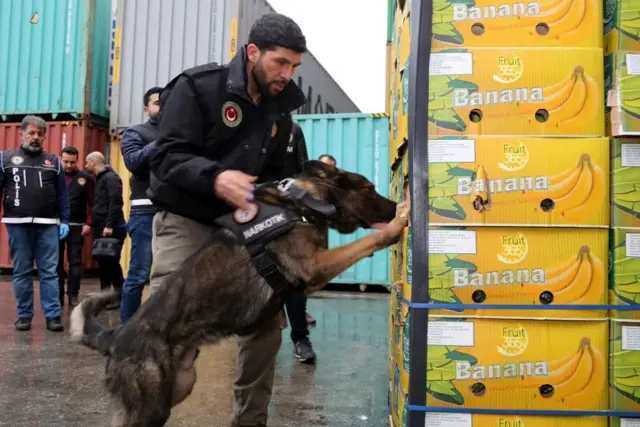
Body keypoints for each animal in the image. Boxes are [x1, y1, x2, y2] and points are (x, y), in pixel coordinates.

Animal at [70, 160, 410, 427]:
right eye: (368, 188)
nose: (395, 205)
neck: (301, 202)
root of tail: (114, 337)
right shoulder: (315, 266)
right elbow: (368, 242)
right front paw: (397, 224)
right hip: (149, 406)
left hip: (178, 386)